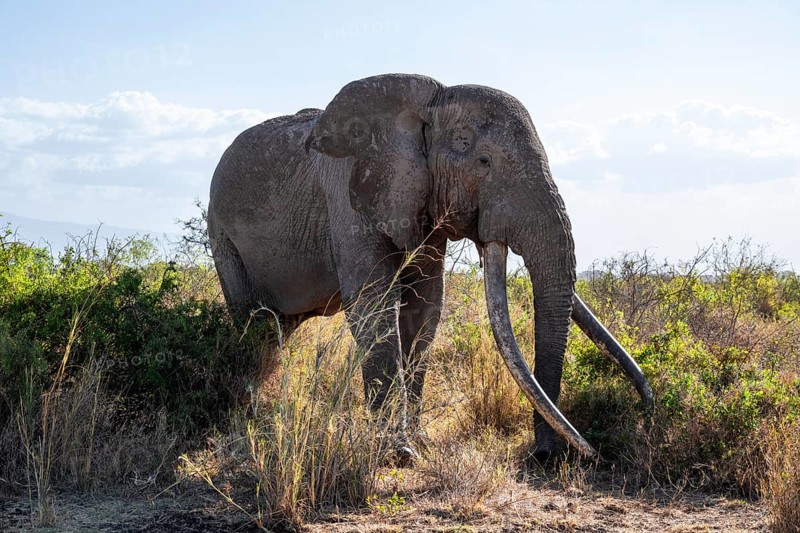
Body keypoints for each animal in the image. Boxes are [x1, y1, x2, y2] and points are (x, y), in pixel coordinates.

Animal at [208, 73, 653, 462]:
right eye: (483, 161)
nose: (543, 456)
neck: (430, 105)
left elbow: (424, 310)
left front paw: (416, 442)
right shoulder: (348, 198)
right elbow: (374, 308)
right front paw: (398, 453)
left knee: (274, 332)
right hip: (222, 235)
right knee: (252, 325)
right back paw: (252, 420)